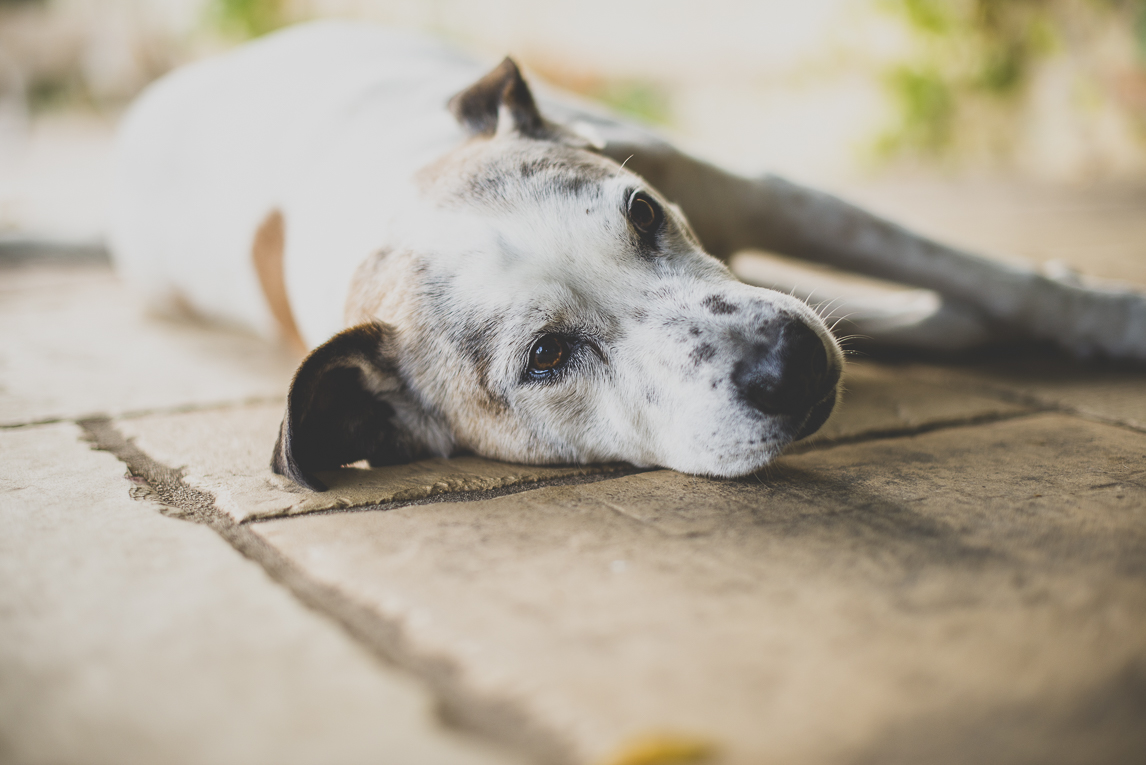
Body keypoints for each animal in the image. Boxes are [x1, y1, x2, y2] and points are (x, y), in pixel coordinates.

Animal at [111, 23, 1146, 492]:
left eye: (643, 213)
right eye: (545, 357)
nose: (792, 363)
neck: (388, 191)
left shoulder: (765, 192)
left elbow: (993, 274)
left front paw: (1107, 316)